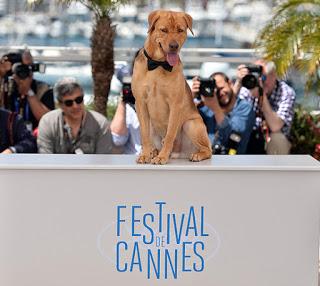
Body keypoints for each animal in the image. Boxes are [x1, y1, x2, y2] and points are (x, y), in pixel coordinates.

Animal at [131, 10, 211, 164]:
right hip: (152, 125)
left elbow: (169, 135)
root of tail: (179, 154)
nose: (174, 46)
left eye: (180, 30)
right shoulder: (140, 103)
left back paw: (196, 155)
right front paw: (145, 155)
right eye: (164, 30)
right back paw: (153, 152)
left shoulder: (175, 104)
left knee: (208, 149)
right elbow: (144, 135)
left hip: (191, 124)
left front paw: (162, 157)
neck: (158, 64)